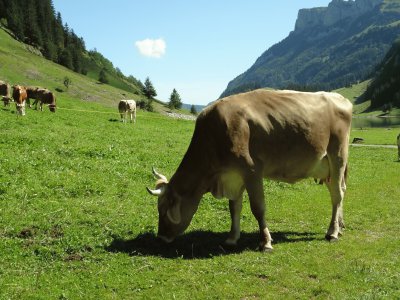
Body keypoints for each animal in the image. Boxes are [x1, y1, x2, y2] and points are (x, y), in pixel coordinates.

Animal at [148, 88, 354, 251]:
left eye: (163, 209)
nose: (161, 237)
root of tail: (339, 98)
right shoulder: (233, 177)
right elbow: (234, 207)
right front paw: (232, 238)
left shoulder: (252, 171)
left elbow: (258, 208)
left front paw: (266, 242)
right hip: (326, 167)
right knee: (339, 191)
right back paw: (340, 226)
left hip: (337, 156)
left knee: (337, 195)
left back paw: (333, 232)